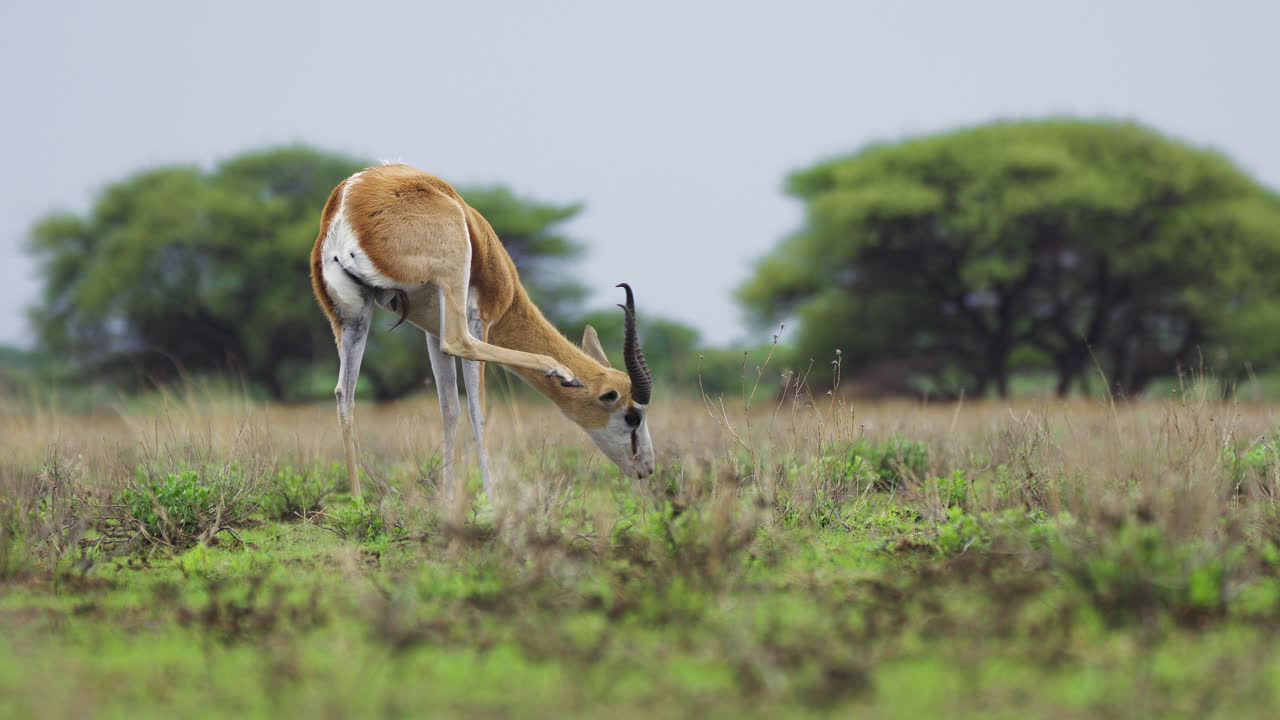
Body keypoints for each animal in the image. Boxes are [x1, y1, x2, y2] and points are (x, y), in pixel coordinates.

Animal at [309, 163, 656, 498]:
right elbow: (479, 413)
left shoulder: (431, 331)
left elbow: (449, 409)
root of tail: (348, 201)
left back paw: (356, 501)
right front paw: (491, 500)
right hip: (453, 282)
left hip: (352, 317)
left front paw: (448, 500)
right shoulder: (481, 317)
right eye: (633, 415)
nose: (647, 468)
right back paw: (558, 369)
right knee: (460, 344)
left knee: (344, 395)